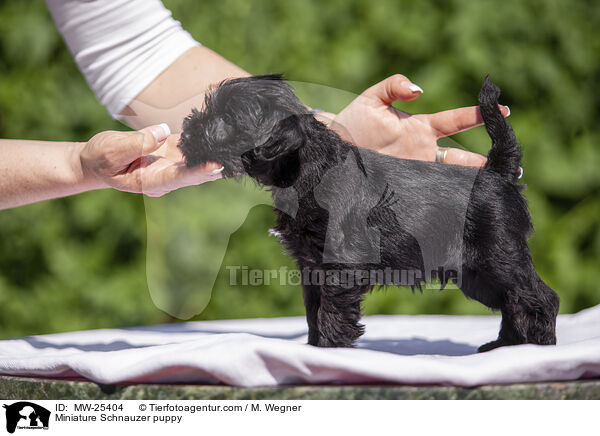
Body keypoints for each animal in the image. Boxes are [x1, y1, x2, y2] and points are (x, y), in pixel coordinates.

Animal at [177, 75, 556, 352]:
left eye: (226, 119)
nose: (186, 129)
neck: (309, 168)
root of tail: (495, 173)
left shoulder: (342, 262)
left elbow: (331, 309)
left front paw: (330, 348)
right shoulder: (311, 266)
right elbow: (313, 309)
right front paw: (314, 348)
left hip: (497, 257)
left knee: (539, 297)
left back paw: (537, 347)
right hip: (476, 274)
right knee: (513, 302)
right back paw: (506, 345)